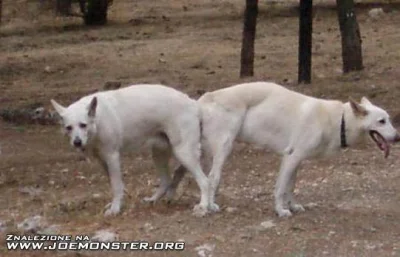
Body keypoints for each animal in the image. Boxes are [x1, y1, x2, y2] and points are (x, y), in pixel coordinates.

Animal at [50, 84, 212, 216]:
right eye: (68, 128)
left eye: (83, 125)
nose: (77, 143)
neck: (99, 119)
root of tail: (193, 103)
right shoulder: (102, 161)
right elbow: (114, 184)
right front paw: (116, 203)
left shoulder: (112, 157)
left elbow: (116, 186)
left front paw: (115, 209)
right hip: (160, 153)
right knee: (167, 180)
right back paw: (153, 199)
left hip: (183, 152)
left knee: (204, 181)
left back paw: (203, 206)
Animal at [168, 81, 396, 216]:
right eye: (382, 121)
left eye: (389, 120)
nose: (398, 137)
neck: (339, 119)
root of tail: (202, 99)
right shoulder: (291, 158)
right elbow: (280, 188)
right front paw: (281, 211)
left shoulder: (296, 161)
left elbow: (290, 187)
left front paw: (292, 206)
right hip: (224, 147)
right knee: (212, 178)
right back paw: (208, 207)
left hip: (208, 151)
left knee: (202, 176)